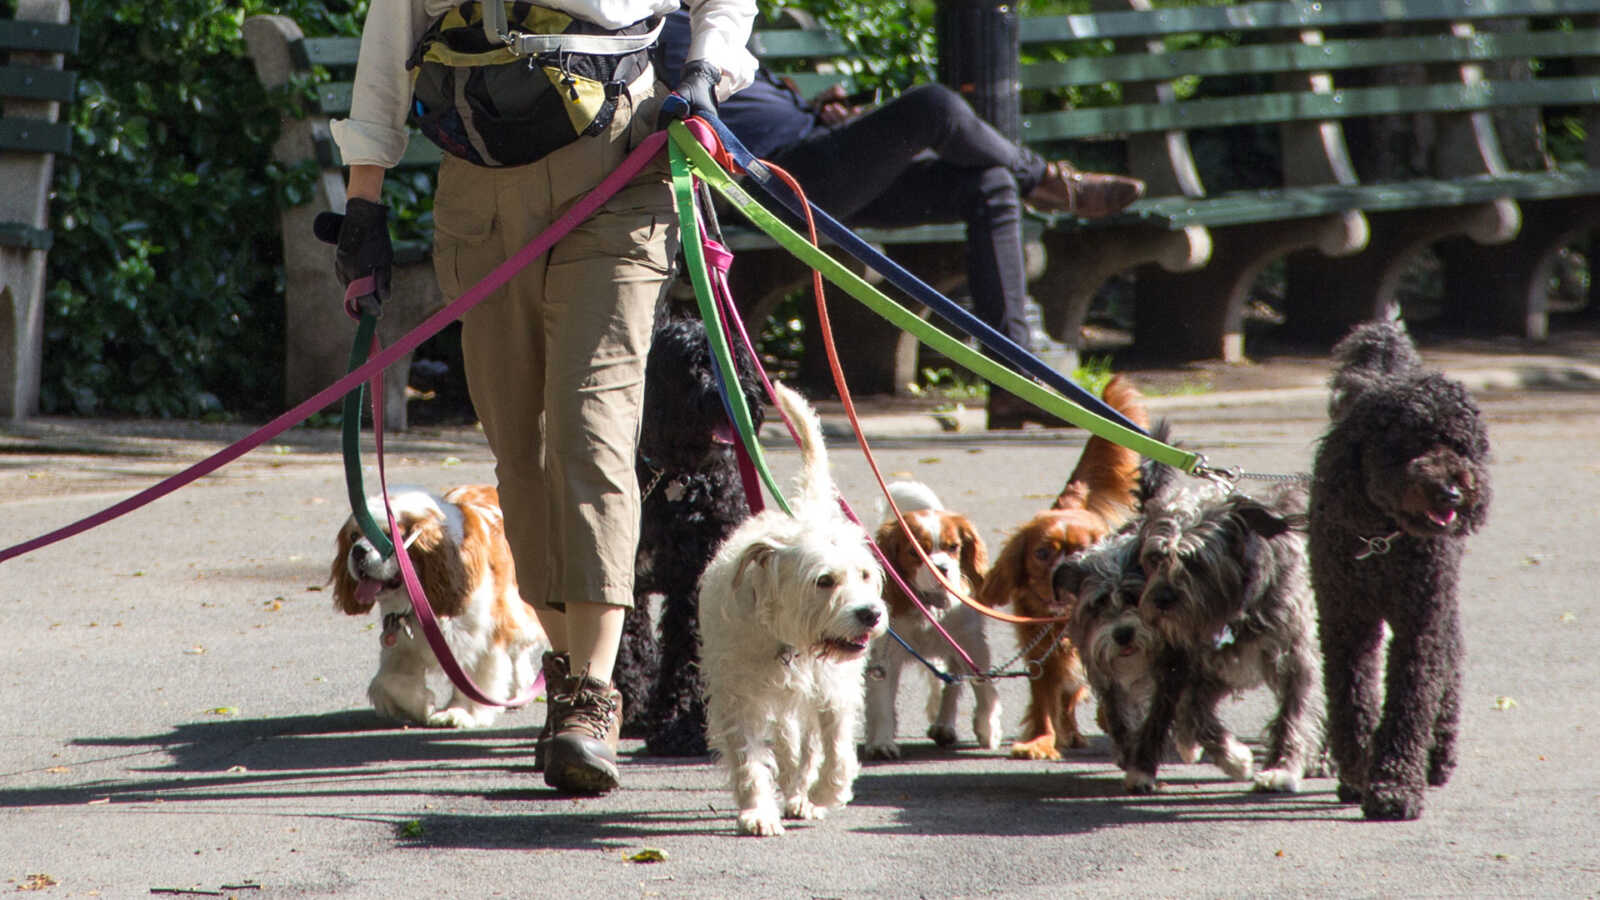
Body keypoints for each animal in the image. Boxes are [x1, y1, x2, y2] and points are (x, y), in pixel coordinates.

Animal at [328, 483, 547, 730]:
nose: (357, 551)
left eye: (388, 535)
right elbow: (391, 680)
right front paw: (421, 705)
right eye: (354, 536)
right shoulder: (401, 644)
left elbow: (474, 681)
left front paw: (458, 712)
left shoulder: (482, 641)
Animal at [608, 307, 764, 755]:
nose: (737, 396)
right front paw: (638, 706)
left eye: (736, 360)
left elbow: (685, 655)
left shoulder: (695, 582)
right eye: (694, 363)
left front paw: (679, 724)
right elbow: (628, 644)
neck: (676, 477)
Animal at [700, 381, 896, 839]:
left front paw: (824, 793)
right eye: (824, 581)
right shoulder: (739, 697)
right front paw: (758, 810)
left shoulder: (834, 690)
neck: (787, 640)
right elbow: (749, 757)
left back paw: (802, 792)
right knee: (789, 743)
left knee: (805, 746)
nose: (870, 614)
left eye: (864, 575)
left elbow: (837, 750)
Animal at [870, 480, 992, 752]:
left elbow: (984, 688)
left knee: (951, 685)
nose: (942, 568)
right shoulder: (886, 654)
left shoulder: (971, 643)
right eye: (915, 552)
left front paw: (988, 729)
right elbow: (882, 701)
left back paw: (944, 725)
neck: (930, 602)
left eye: (953, 547)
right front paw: (882, 741)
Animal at [1305, 318, 1491, 816]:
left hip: (1441, 604)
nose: (1452, 491)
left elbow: (1411, 699)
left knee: (1451, 659)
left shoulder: (1420, 622)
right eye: (1410, 445)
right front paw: (1357, 769)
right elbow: (1350, 698)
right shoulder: (1345, 619)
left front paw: (1394, 786)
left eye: (1461, 446)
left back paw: (1439, 755)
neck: (1383, 540)